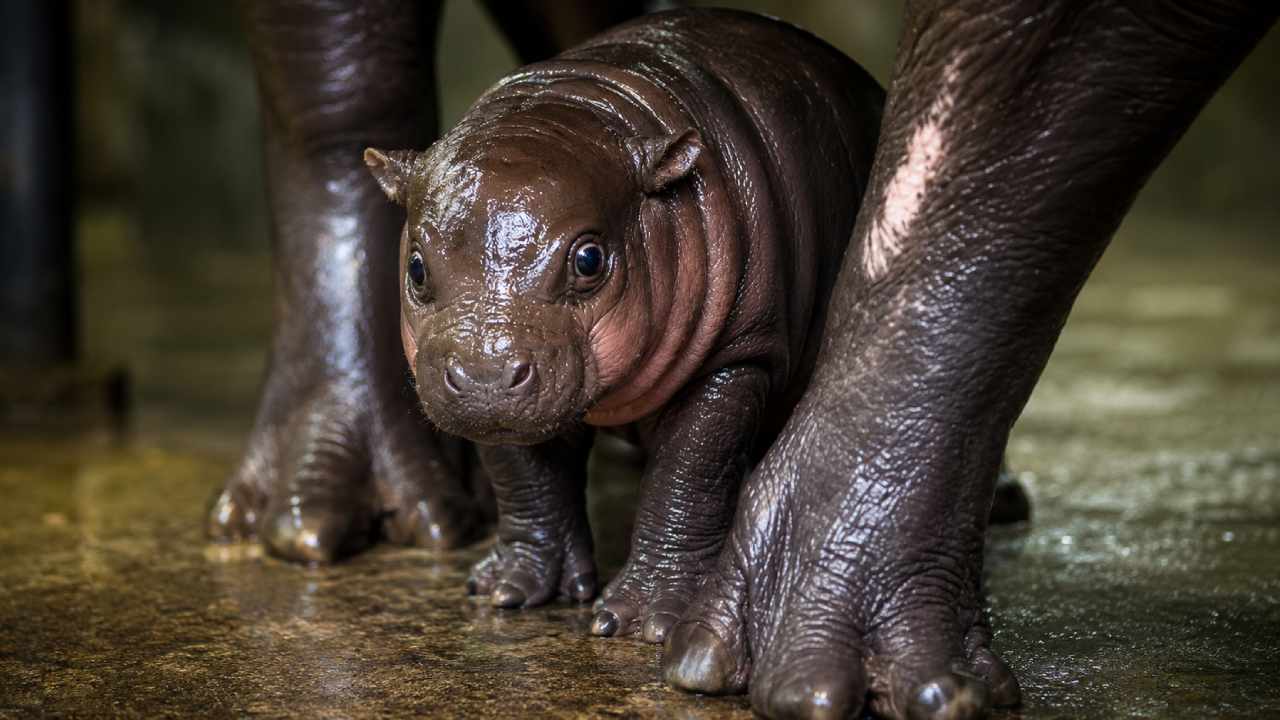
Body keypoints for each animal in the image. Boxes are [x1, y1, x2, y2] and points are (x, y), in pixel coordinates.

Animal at [363, 8, 884, 641]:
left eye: (589, 259)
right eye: (415, 266)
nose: (485, 374)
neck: (567, 109)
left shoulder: (738, 354)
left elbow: (689, 473)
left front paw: (645, 623)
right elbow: (522, 472)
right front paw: (505, 592)